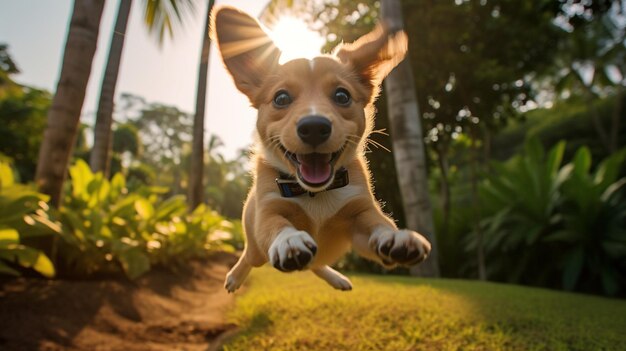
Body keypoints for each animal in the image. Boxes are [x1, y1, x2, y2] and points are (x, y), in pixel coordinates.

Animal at [210, 6, 428, 292]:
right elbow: (277, 226)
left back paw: (337, 278)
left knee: (315, 265)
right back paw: (235, 277)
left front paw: (397, 236)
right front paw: (288, 240)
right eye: (281, 98)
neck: (316, 195)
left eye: (342, 96)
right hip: (256, 248)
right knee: (249, 256)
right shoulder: (268, 212)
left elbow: (379, 224)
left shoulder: (360, 216)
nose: (314, 127)